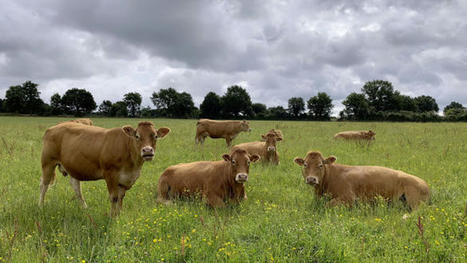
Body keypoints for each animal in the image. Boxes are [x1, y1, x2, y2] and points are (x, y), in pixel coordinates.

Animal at [38, 121, 170, 217]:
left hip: (73, 166)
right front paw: (112, 216)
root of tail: (53, 128)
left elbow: (121, 197)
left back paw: (85, 208)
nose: (147, 151)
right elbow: (114, 197)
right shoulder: (110, 175)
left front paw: (119, 215)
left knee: (76, 188)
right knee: (44, 185)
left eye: (155, 136)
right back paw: (41, 205)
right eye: (137, 136)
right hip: (48, 163)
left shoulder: (125, 178)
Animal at [294, 152, 430, 211]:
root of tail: (424, 183)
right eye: (305, 164)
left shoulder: (348, 198)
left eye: (320, 165)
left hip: (415, 202)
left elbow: (327, 205)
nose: (311, 179)